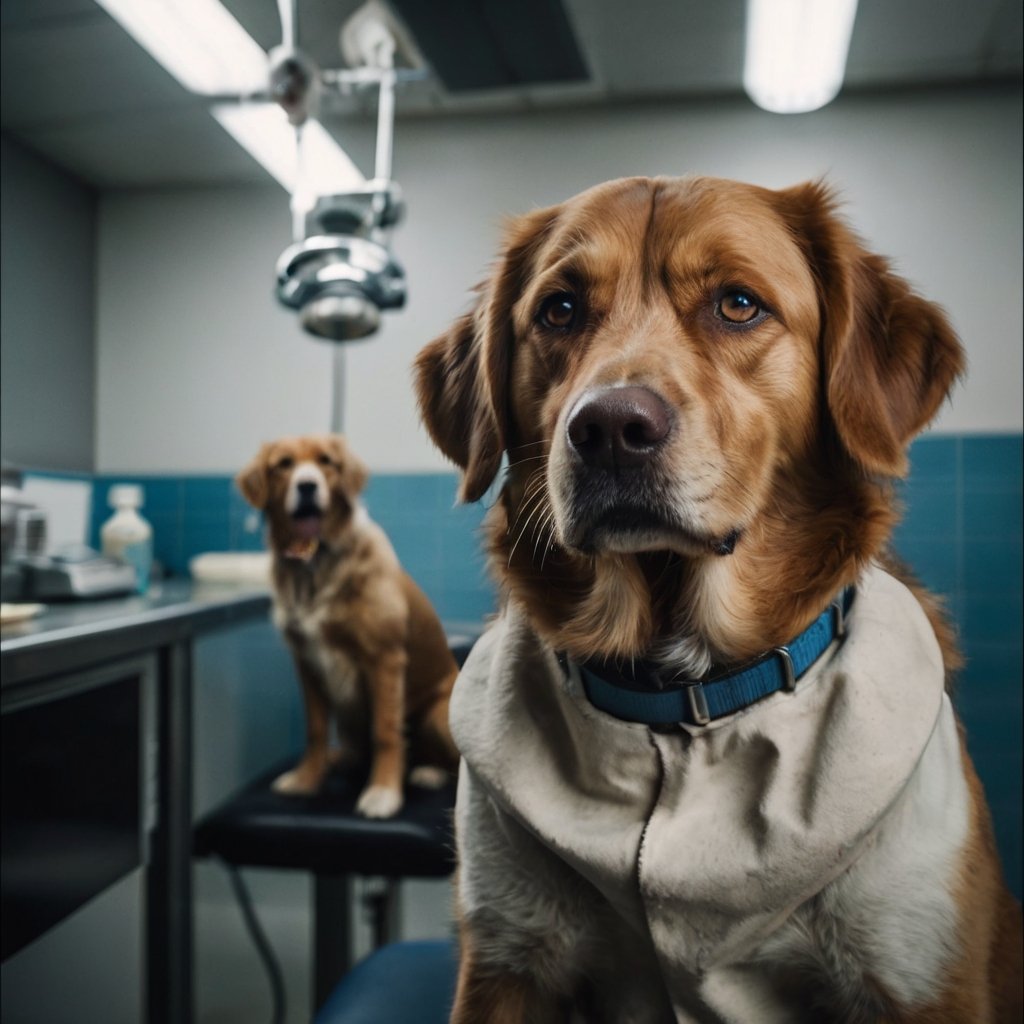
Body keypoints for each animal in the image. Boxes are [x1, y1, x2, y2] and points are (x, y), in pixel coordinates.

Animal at [237, 432, 458, 815]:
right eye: (284, 464)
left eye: (326, 461)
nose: (307, 486)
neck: (314, 561)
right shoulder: (306, 662)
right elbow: (315, 729)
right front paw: (306, 780)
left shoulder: (384, 658)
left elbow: (386, 730)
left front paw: (383, 792)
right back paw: (343, 758)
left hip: (436, 715)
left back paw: (427, 772)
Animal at [415, 178, 1024, 1024]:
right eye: (559, 310)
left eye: (737, 304)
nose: (610, 428)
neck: (681, 703)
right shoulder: (507, 960)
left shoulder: (920, 977)